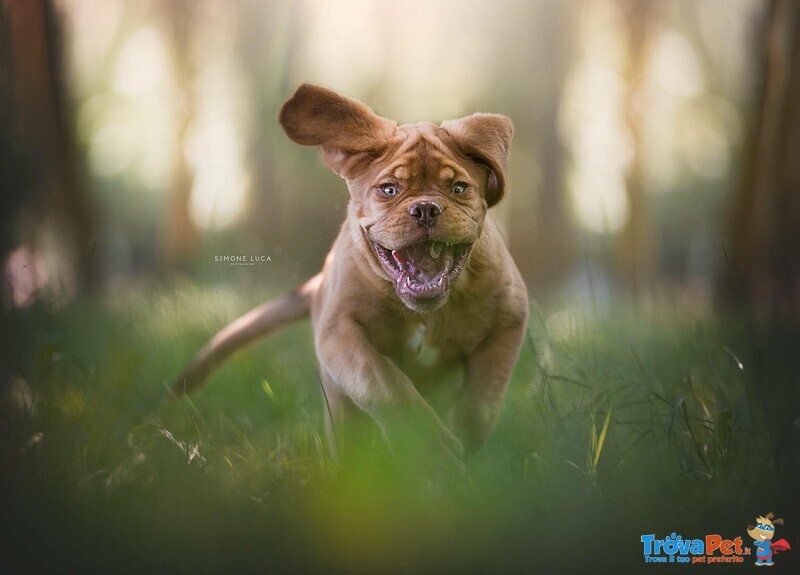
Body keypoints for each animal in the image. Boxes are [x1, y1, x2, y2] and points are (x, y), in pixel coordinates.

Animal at [172, 84, 528, 464]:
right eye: (389, 189)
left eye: (459, 188)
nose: (426, 208)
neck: (426, 313)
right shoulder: (339, 333)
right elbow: (384, 380)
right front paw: (429, 444)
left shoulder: (507, 327)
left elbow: (482, 401)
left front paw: (462, 447)